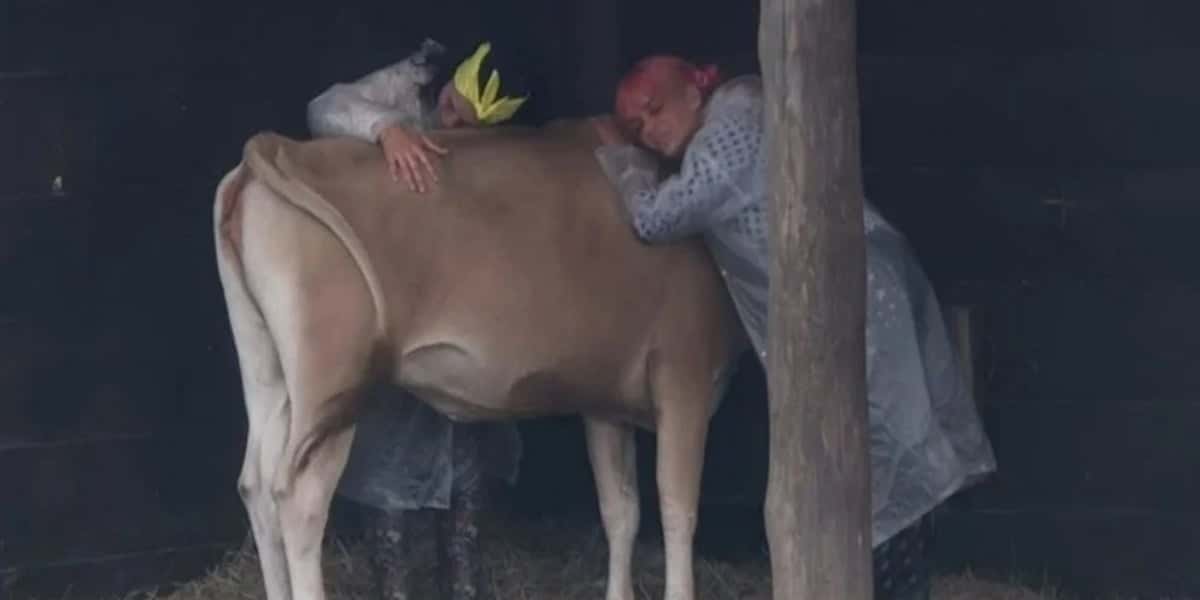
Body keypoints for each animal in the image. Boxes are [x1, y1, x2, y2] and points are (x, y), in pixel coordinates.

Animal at [212, 118, 747, 600]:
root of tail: (279, 150)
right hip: (330, 378)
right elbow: (678, 506)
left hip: (266, 369)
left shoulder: (604, 398)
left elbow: (620, 510)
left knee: (256, 484)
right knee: (299, 498)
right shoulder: (684, 372)